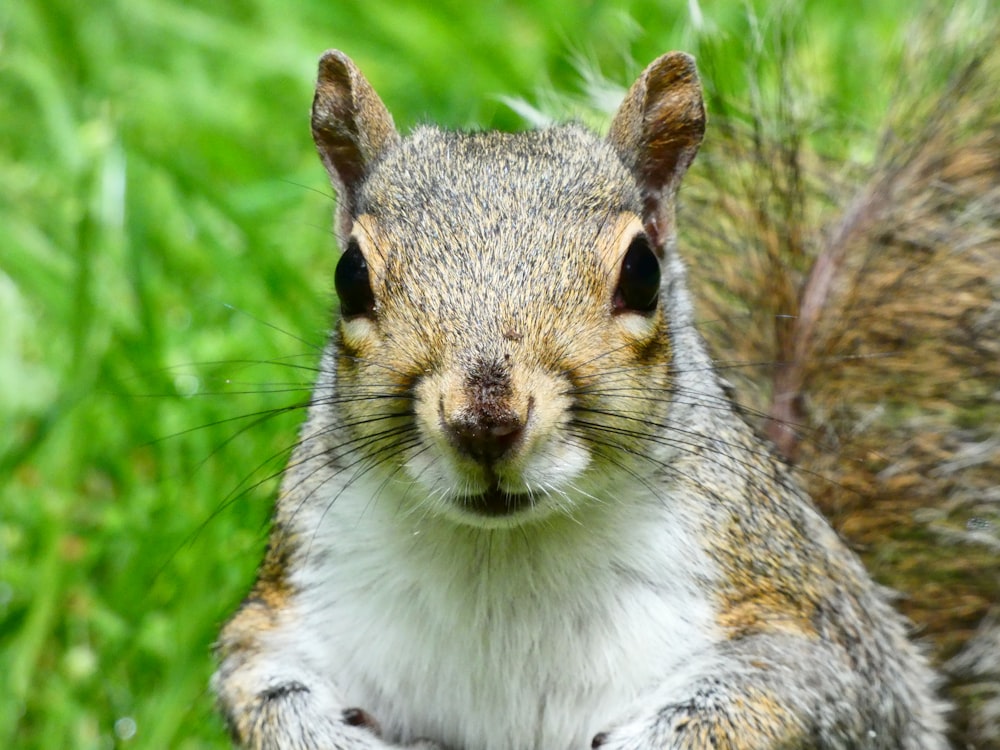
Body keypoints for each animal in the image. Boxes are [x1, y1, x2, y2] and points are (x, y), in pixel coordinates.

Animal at [211, 50, 952, 748]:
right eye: (350, 277)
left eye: (643, 272)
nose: (485, 422)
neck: (505, 552)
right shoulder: (295, 599)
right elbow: (257, 679)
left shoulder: (803, 616)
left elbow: (795, 690)